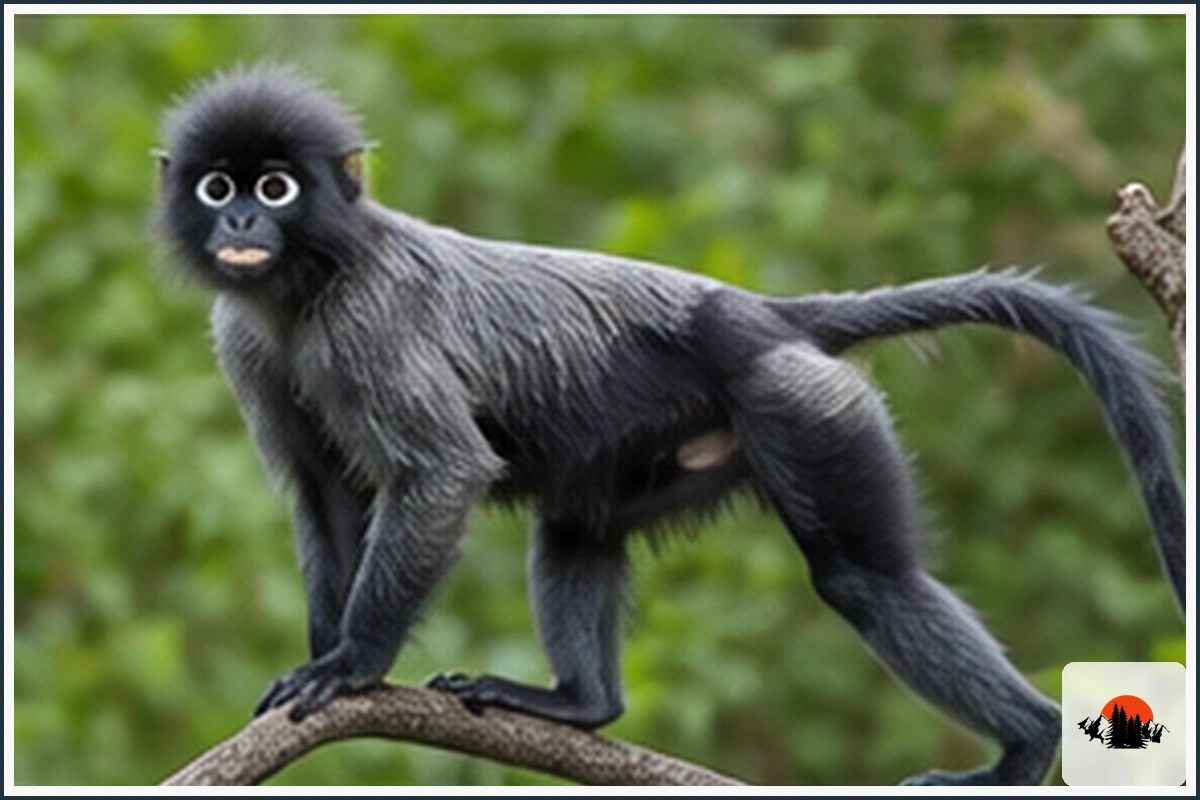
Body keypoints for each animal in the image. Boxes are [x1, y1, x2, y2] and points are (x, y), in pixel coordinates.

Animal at [154, 64, 1184, 786]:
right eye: (218, 189)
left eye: (277, 189)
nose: (241, 219)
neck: (305, 285)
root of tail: (767, 315)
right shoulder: (245, 346)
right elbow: (326, 491)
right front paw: (324, 658)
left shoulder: (369, 320)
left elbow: (442, 471)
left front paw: (352, 666)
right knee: (576, 525)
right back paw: (580, 706)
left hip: (802, 404)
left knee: (864, 578)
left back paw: (1027, 746)